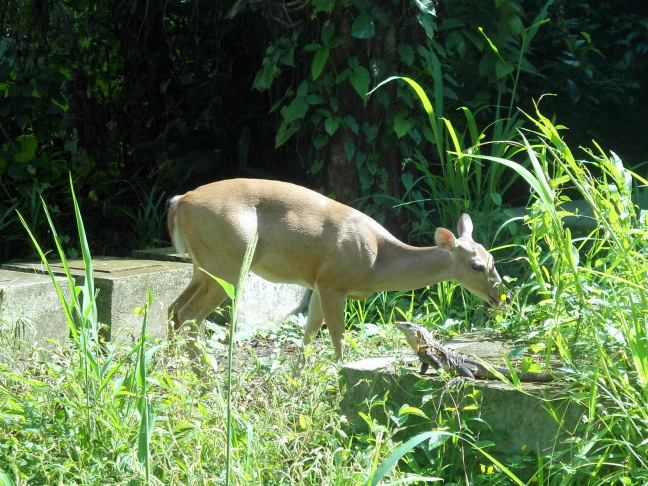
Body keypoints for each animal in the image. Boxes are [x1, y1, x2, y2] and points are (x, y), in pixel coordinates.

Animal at [166, 178, 506, 360]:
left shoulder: (317, 284)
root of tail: (179, 201)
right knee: (190, 315)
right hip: (229, 262)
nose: (502, 296)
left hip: (203, 265)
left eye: (492, 260)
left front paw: (301, 380)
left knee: (173, 309)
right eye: (477, 266)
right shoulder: (333, 282)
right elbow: (337, 338)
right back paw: (202, 376)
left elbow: (308, 336)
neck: (378, 263)